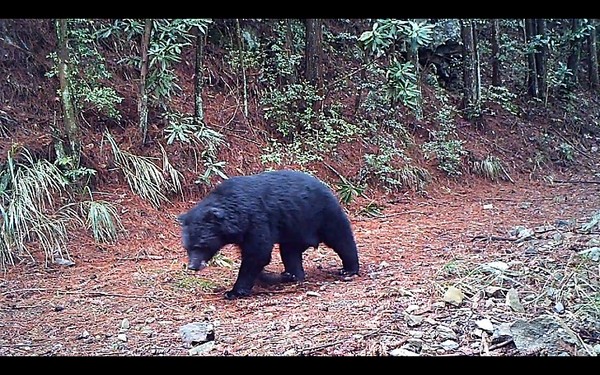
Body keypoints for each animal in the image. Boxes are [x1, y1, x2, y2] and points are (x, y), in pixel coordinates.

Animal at [176, 170, 358, 300]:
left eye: (200, 245)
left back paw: (349, 269)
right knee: (290, 252)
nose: (193, 266)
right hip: (293, 228)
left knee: (341, 238)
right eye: (187, 247)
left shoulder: (256, 220)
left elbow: (258, 253)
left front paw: (234, 291)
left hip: (322, 214)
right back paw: (290, 275)